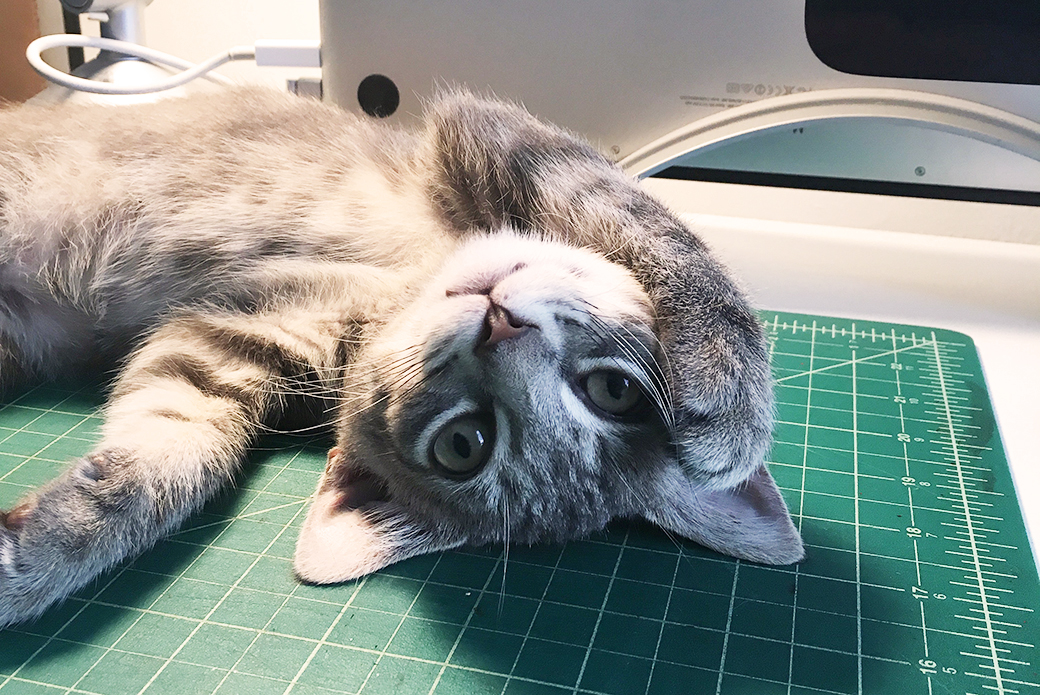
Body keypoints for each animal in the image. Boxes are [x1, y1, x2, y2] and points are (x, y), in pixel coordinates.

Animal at [0, 84, 802, 628]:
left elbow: (170, 454)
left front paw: (37, 555)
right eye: (616, 390)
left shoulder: (227, 337)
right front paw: (733, 399)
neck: (408, 282)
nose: (501, 326)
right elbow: (658, 228)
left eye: (462, 444)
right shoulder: (493, 132)